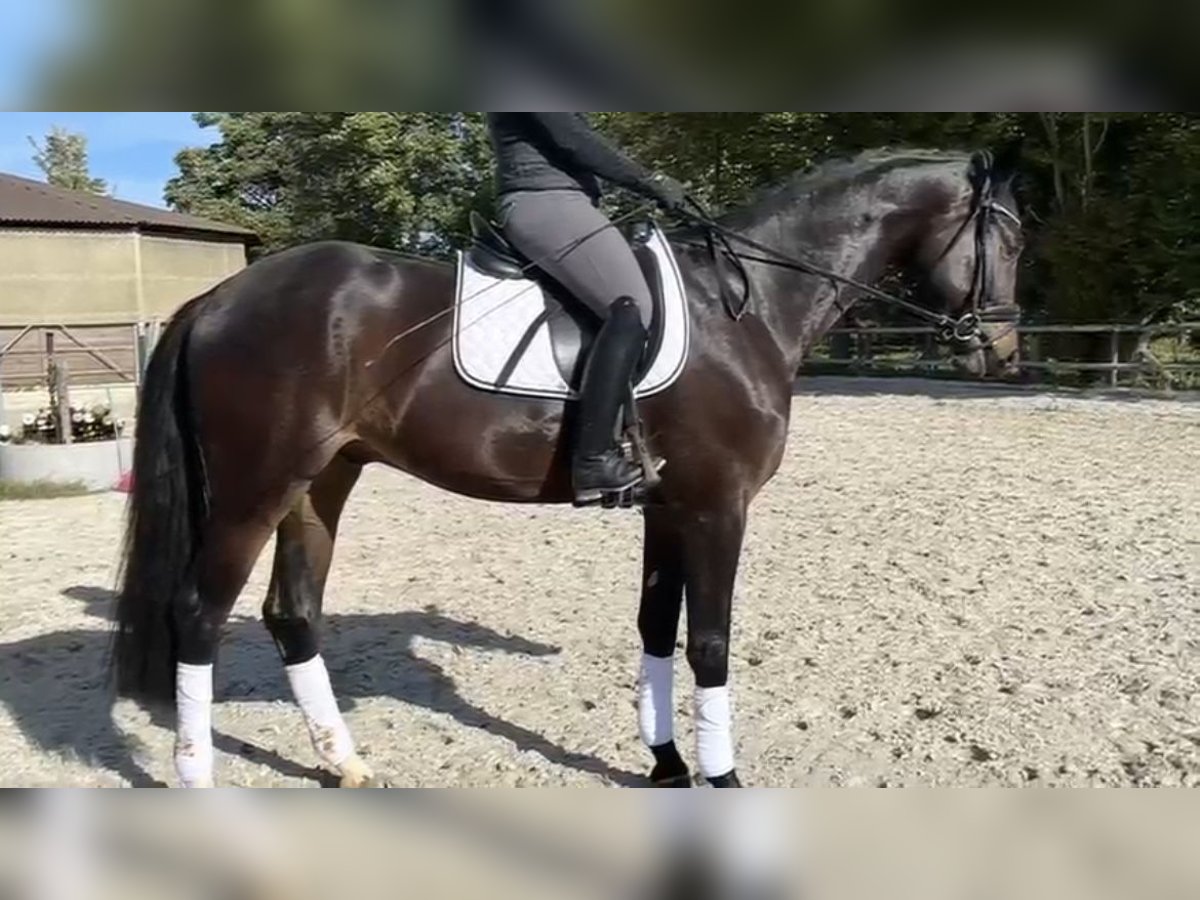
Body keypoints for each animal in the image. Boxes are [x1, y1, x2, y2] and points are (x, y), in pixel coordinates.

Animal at [112, 148, 1022, 787]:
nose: (1003, 350)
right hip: (253, 487)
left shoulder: (669, 505)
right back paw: (198, 778)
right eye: (1008, 236)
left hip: (320, 480)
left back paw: (346, 764)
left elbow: (656, 627)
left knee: (291, 613)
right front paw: (721, 776)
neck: (748, 305)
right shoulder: (719, 505)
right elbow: (711, 643)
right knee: (198, 612)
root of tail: (221, 298)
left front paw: (667, 764)